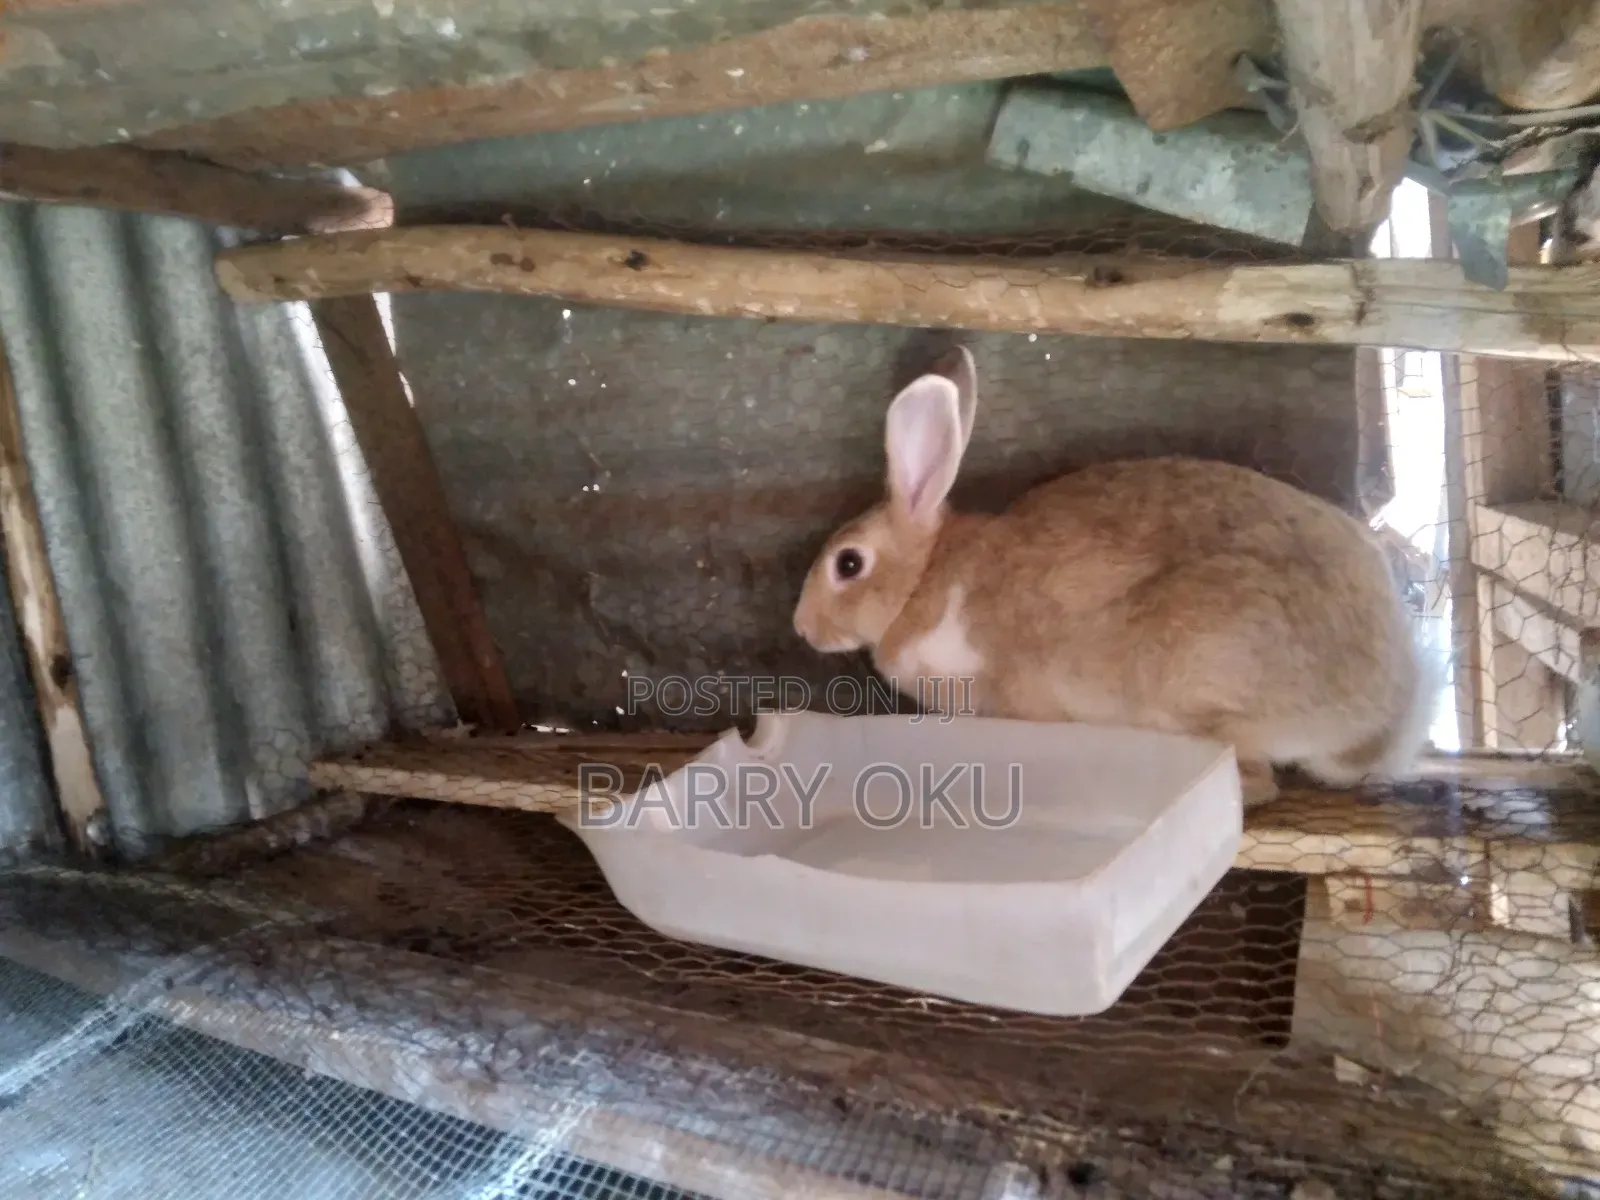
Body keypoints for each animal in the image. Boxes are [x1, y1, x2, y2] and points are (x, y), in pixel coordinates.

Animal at [791, 346, 1438, 808]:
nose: (801, 628)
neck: (922, 581)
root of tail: (1382, 725)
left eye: (848, 564)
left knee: (1254, 783)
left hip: (1198, 673)